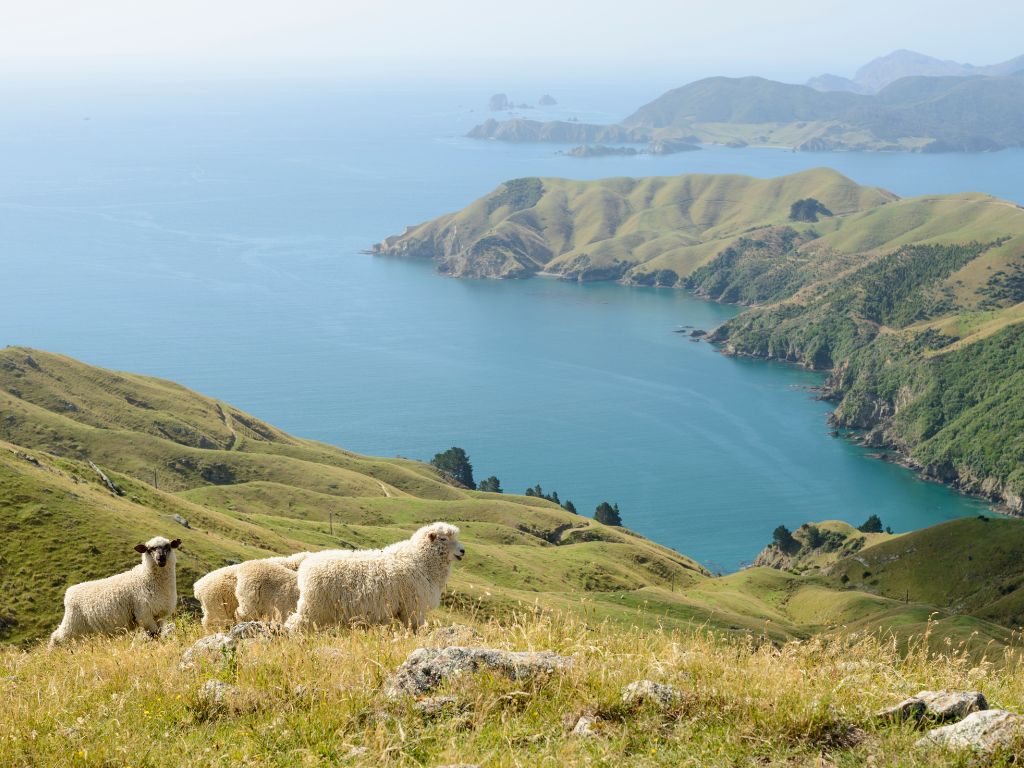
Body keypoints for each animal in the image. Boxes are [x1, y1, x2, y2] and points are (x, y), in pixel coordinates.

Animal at [48, 536, 182, 651]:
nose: (161, 559)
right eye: (150, 549)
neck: (146, 578)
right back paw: (51, 654)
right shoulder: (144, 615)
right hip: (73, 622)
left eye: (168, 547)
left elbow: (158, 634)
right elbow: (154, 635)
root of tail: (69, 592)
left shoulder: (160, 615)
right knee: (57, 637)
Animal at [286, 524, 466, 638]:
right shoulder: (412, 607)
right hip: (314, 606)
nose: (463, 551)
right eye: (443, 539)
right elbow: (415, 628)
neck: (419, 559)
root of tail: (306, 566)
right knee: (296, 623)